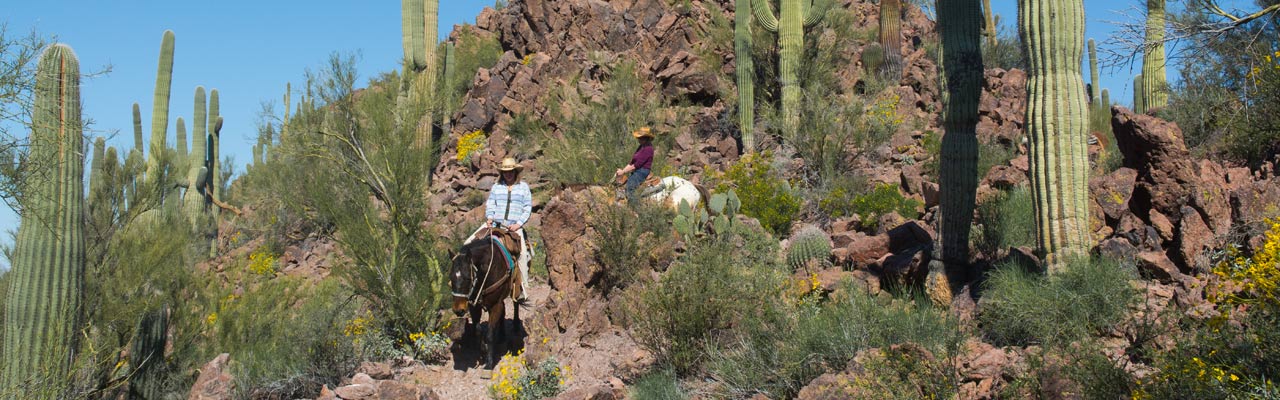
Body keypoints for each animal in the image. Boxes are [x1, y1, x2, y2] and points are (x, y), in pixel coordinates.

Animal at [450, 228, 519, 369]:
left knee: (516, 303)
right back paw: (502, 336)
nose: (458, 310)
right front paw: (483, 350)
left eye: (467, 278)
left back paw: (515, 325)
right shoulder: (474, 305)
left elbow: (490, 334)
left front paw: (489, 362)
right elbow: (477, 330)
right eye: (450, 277)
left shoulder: (495, 305)